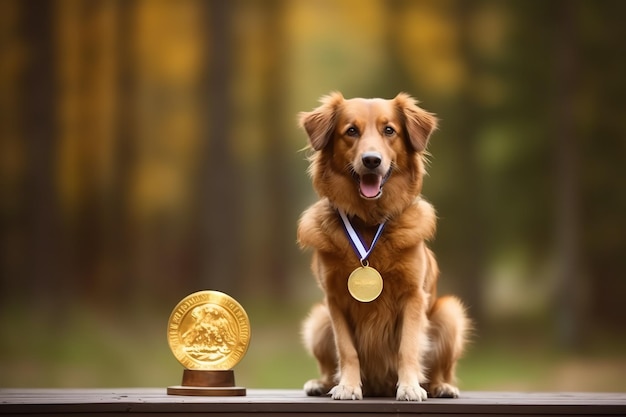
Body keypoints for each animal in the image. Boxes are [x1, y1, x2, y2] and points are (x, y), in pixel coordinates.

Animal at [294, 92, 466, 400]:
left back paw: (440, 386)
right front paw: (348, 386)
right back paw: (322, 383)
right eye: (351, 131)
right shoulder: (334, 301)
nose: (371, 160)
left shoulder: (413, 296)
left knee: (440, 370)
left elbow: (408, 347)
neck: (368, 223)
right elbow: (347, 350)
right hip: (318, 320)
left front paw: (410, 386)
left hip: (450, 314)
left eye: (389, 130)